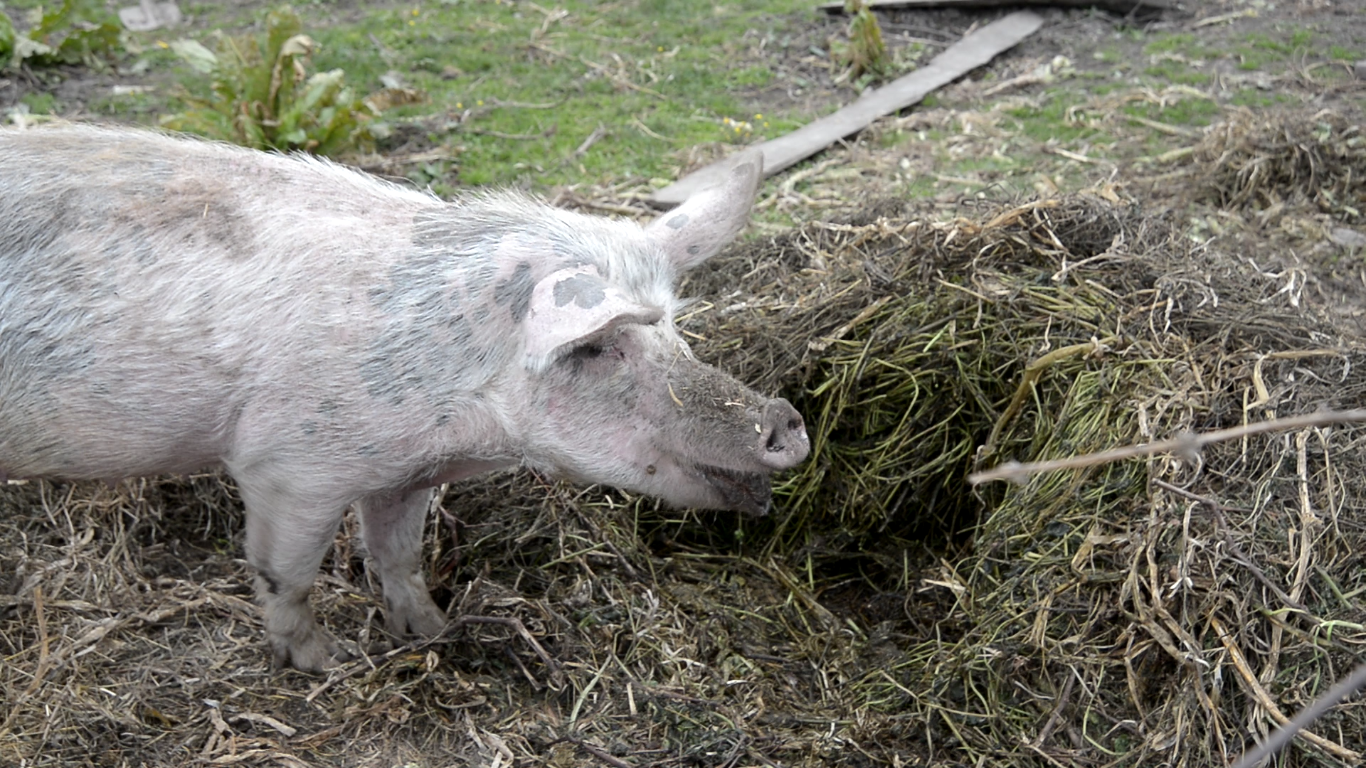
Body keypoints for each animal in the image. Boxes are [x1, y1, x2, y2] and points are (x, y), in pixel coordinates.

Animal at [0, 124, 803, 669]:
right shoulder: (287, 465)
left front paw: (433, 633)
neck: (463, 413)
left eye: (674, 331)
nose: (785, 419)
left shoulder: (403, 472)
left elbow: (398, 554)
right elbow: (286, 573)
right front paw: (327, 663)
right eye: (597, 347)